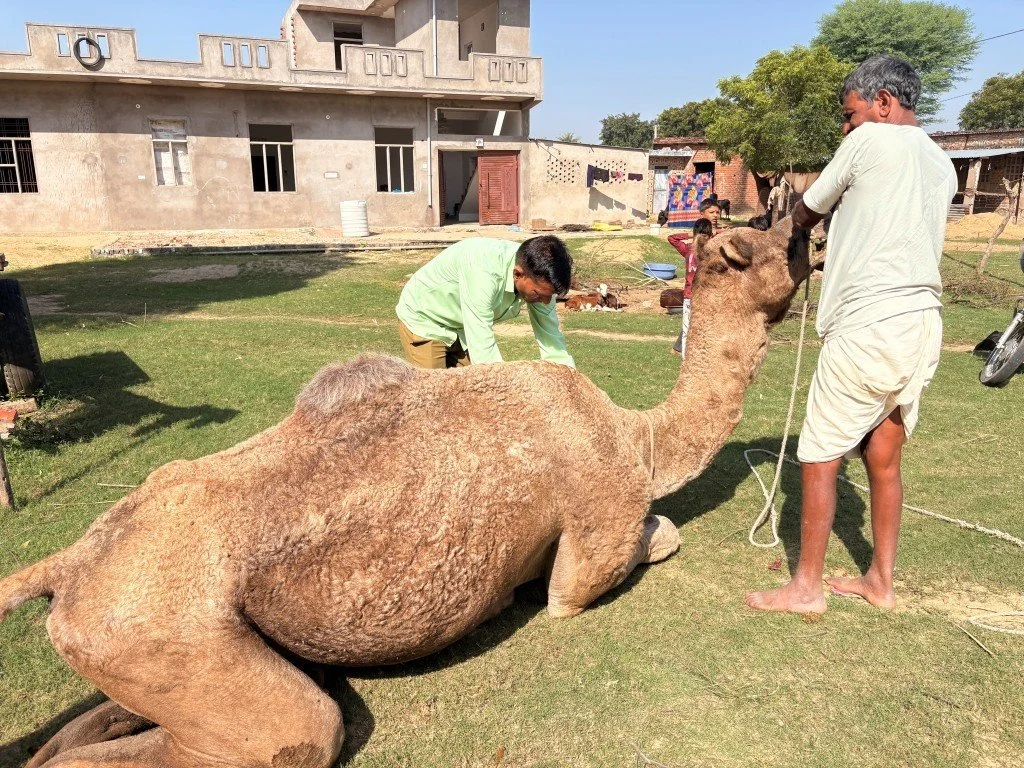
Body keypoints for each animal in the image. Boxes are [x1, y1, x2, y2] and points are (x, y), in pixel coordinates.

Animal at [0, 218, 811, 768]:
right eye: (766, 240)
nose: (814, 228)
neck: (638, 440)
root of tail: (65, 565)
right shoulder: (590, 551)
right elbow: (645, 545)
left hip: (135, 642)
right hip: (176, 633)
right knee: (298, 734)